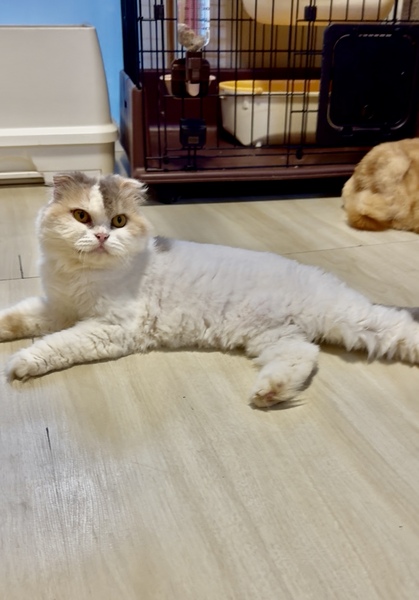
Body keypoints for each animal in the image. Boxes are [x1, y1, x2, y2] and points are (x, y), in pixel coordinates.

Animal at [1, 170, 419, 408]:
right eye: (81, 217)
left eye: (119, 221)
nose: (102, 237)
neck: (82, 275)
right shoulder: (57, 307)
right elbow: (19, 318)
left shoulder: (111, 326)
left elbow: (55, 344)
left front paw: (20, 362)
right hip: (276, 338)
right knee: (303, 357)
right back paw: (270, 393)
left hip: (353, 319)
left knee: (398, 327)